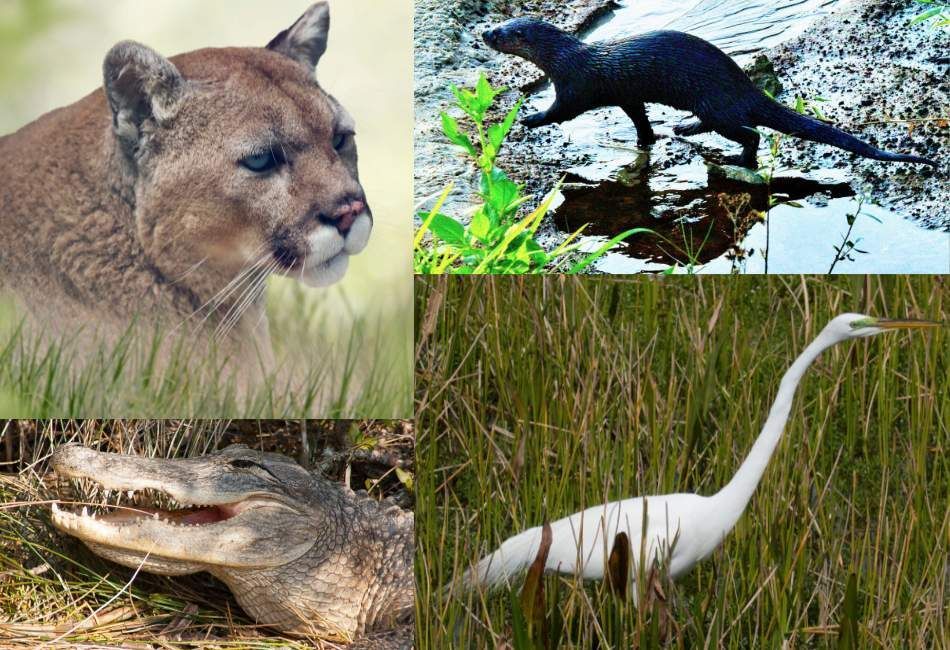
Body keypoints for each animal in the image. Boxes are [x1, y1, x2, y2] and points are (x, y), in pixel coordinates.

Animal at [482, 18, 938, 169]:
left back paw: (738, 157)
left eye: (501, 32)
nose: (483, 33)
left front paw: (528, 117)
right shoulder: (626, 94)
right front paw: (647, 139)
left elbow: (560, 111)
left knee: (751, 132)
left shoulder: (576, 87)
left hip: (717, 105)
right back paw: (683, 128)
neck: (565, 58)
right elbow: (639, 118)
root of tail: (745, 87)